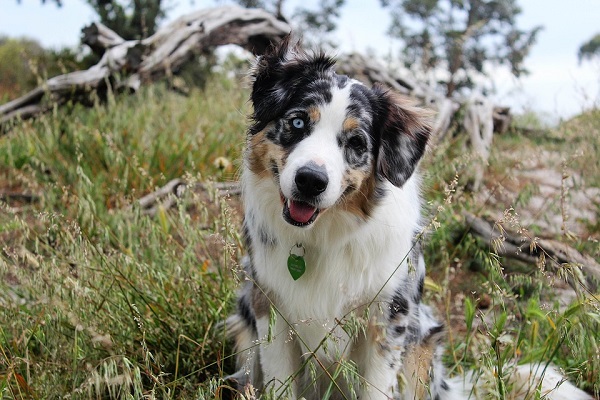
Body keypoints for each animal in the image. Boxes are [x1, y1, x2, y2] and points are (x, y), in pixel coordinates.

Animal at [223, 36, 592, 398]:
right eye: (298, 122)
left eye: (356, 143)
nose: (310, 181)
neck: (323, 235)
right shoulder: (270, 312)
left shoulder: (389, 321)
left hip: (421, 343)